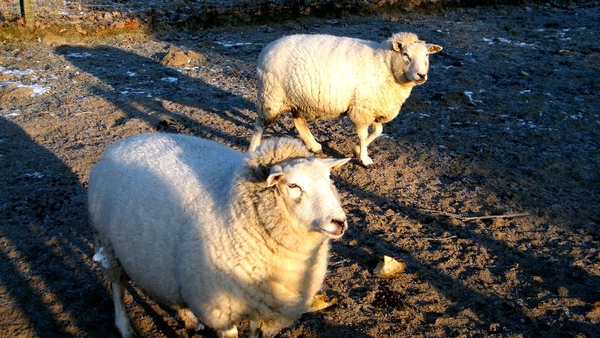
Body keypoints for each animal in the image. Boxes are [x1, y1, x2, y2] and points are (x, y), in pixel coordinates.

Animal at [89, 134, 352, 338]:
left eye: (329, 179)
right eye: (293, 186)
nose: (339, 222)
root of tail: (122, 143)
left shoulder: (263, 304)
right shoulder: (220, 308)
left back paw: (188, 319)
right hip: (108, 245)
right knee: (117, 286)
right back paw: (125, 328)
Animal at [247, 31, 440, 166]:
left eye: (427, 55)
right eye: (406, 55)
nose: (421, 75)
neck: (385, 64)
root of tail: (267, 49)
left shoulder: (374, 107)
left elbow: (378, 131)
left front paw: (357, 150)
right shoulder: (361, 109)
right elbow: (363, 134)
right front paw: (364, 158)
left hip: (299, 99)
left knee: (299, 121)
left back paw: (314, 145)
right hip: (271, 97)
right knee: (259, 124)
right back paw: (253, 149)